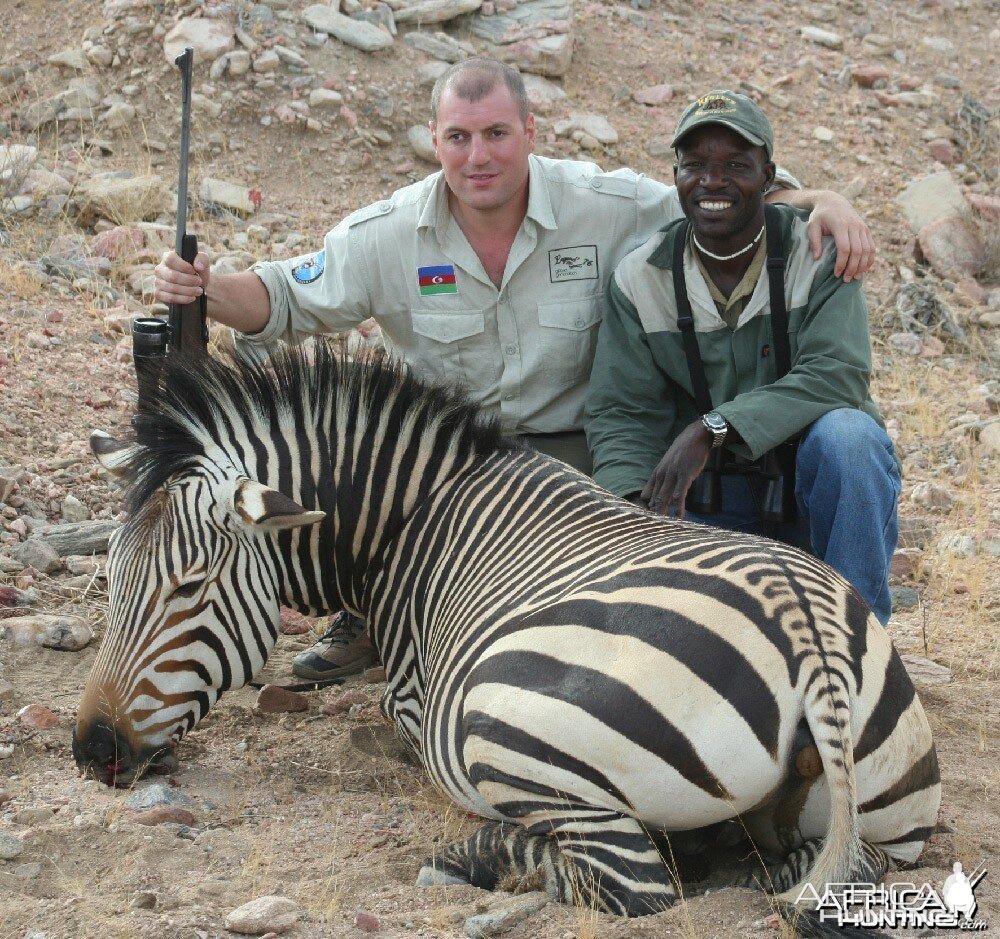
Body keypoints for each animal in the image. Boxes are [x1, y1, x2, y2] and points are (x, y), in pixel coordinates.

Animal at [74, 340, 940, 924]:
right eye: (110, 576)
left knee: (631, 881)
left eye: (187, 587)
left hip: (503, 718)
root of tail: (810, 638)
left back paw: (472, 859)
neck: (414, 520)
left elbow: (391, 717)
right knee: (832, 864)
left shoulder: (418, 698)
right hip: (886, 824)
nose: (92, 750)